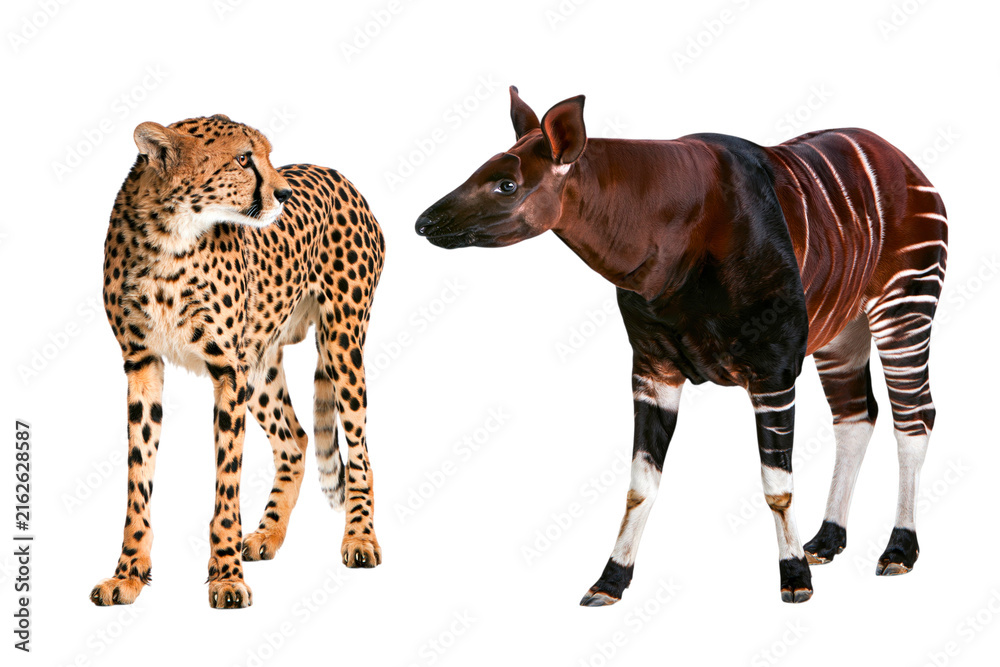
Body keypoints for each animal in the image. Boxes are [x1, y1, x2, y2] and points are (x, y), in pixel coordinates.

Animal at [91, 114, 384, 609]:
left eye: (266, 155)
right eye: (244, 158)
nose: (284, 193)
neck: (172, 235)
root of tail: (338, 175)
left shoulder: (228, 370)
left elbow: (226, 482)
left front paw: (225, 577)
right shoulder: (142, 362)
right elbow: (139, 476)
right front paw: (128, 573)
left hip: (341, 344)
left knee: (360, 452)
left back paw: (360, 539)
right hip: (260, 364)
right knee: (295, 440)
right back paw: (267, 534)